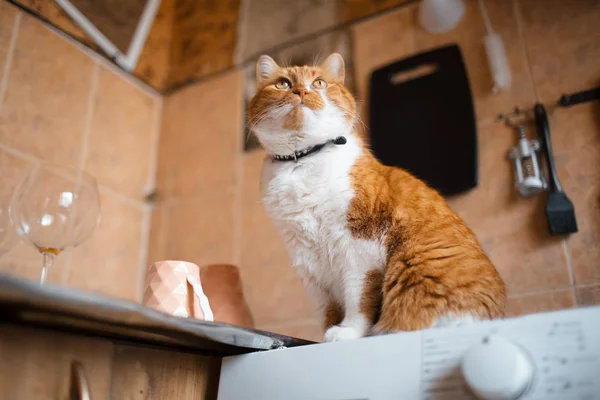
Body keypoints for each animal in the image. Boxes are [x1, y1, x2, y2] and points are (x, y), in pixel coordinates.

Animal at [246, 52, 504, 340]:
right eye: (283, 84)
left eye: (319, 83)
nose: (301, 91)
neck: (302, 161)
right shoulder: (307, 264)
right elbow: (327, 310)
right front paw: (322, 340)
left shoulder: (361, 244)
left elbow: (358, 297)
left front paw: (347, 332)